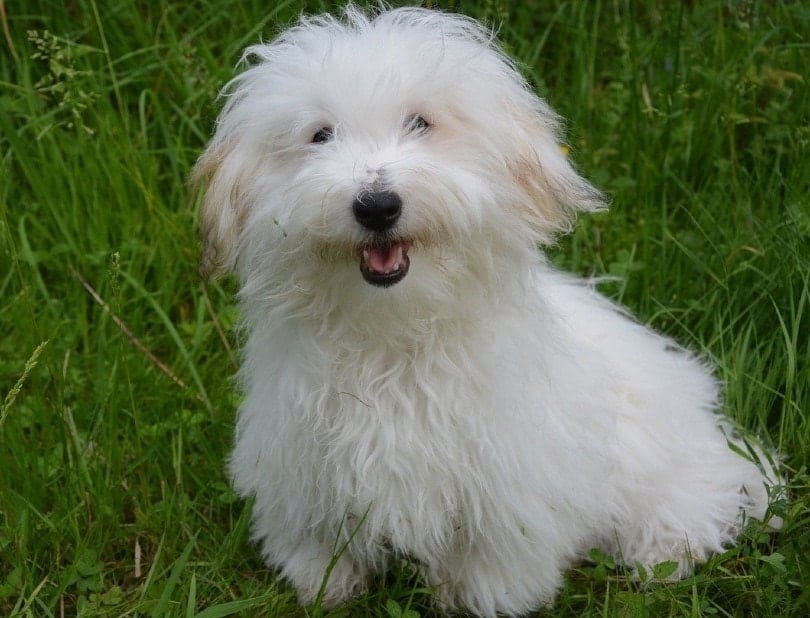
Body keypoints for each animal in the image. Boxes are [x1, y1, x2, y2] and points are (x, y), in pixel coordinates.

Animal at [194, 6, 776, 616]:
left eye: (421, 123)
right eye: (319, 134)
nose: (376, 205)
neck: (393, 335)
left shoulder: (506, 485)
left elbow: (492, 560)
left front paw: (477, 598)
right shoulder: (301, 465)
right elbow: (319, 540)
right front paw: (324, 583)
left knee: (700, 498)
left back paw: (664, 553)